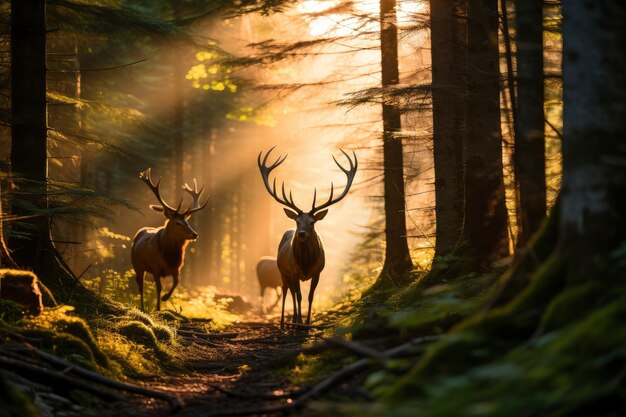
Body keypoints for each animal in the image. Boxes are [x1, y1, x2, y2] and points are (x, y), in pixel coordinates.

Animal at [129, 168, 207, 308]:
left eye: (187, 222)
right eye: (177, 223)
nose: (195, 234)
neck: (169, 256)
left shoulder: (176, 268)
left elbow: (176, 283)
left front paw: (165, 298)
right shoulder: (156, 266)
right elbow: (159, 287)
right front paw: (158, 307)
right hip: (137, 265)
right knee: (140, 287)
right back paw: (142, 307)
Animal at [258, 146, 356, 328]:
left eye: (312, 222)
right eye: (297, 221)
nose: (302, 233)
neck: (305, 264)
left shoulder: (318, 271)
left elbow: (310, 297)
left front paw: (308, 322)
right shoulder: (295, 271)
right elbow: (299, 296)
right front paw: (299, 322)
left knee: (289, 292)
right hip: (283, 271)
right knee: (286, 291)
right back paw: (285, 322)